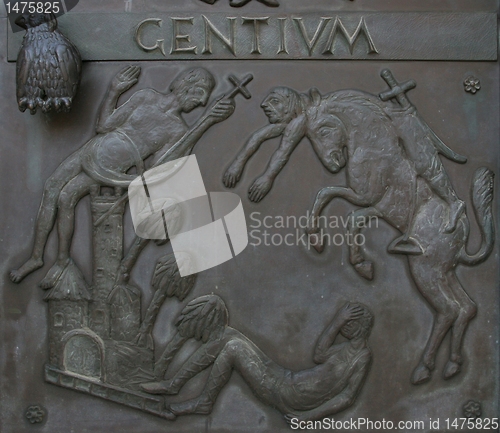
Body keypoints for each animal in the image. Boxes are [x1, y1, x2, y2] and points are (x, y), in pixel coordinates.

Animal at [302, 87, 494, 382]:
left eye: (324, 130)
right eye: (309, 136)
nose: (333, 164)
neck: (375, 146)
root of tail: (461, 239)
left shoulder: (370, 199)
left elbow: (339, 204)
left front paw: (359, 263)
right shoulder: (373, 204)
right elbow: (335, 203)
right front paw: (320, 240)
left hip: (424, 270)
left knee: (448, 310)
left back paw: (424, 367)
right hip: (444, 272)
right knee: (467, 308)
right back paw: (451, 364)